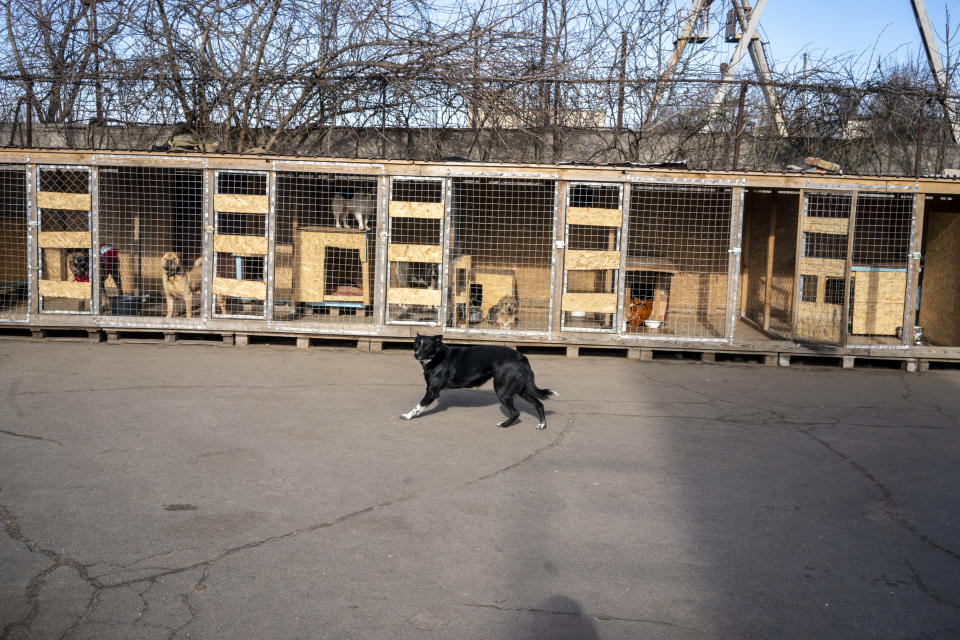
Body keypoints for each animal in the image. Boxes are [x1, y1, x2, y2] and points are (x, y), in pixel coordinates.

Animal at [274, 172, 378, 328]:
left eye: (372, 190)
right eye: (367, 190)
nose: (369, 195)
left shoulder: (367, 213)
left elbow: (366, 221)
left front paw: (366, 227)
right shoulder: (360, 212)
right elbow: (361, 221)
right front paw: (361, 227)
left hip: (345, 210)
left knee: (343, 218)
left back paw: (346, 226)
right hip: (340, 207)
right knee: (338, 218)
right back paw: (340, 226)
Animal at [404, 336, 556, 430]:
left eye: (426, 346)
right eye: (416, 344)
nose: (416, 354)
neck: (436, 356)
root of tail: (523, 358)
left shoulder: (432, 392)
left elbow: (418, 406)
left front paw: (407, 416)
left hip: (503, 391)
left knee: (516, 412)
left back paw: (504, 425)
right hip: (520, 389)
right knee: (539, 404)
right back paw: (542, 425)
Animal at [444, 178, 552, 332]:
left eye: (511, 304)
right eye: (506, 304)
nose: (509, 309)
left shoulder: (512, 321)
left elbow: (511, 323)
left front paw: (509, 325)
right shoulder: (497, 322)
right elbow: (499, 324)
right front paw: (502, 326)